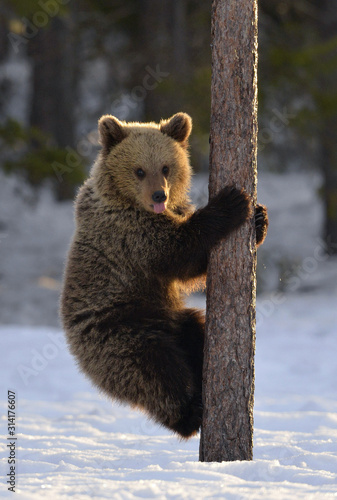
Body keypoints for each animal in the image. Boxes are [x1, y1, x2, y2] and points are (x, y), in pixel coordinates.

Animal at [59, 112, 266, 438]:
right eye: (139, 170)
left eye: (167, 167)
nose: (160, 194)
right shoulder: (129, 233)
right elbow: (179, 251)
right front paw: (232, 202)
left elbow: (194, 267)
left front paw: (259, 218)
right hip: (119, 329)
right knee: (155, 370)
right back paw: (189, 414)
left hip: (172, 318)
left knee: (195, 332)